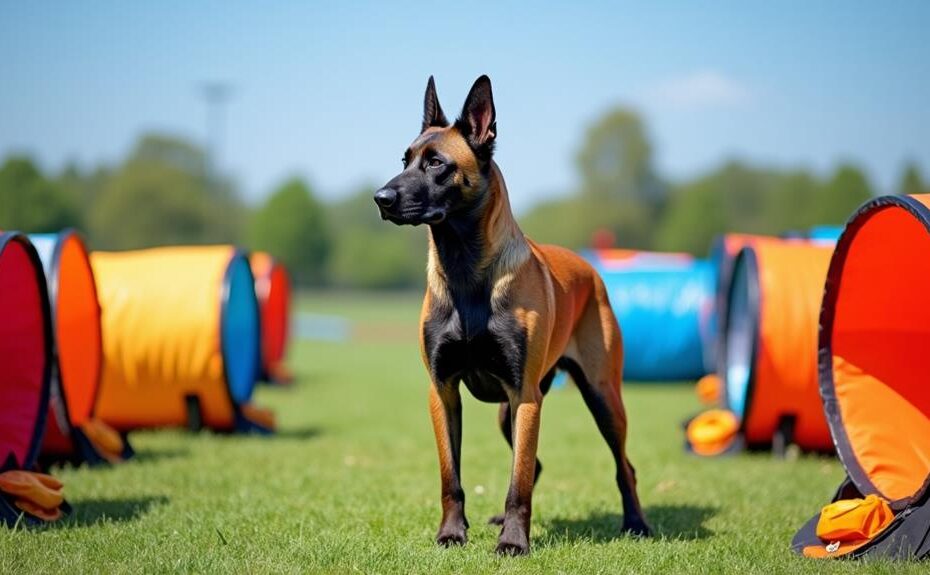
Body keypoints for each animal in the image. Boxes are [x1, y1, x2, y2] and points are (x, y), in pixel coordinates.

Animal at [374, 74, 648, 556]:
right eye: (404, 160)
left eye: (436, 163)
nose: (380, 198)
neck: (466, 272)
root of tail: (590, 270)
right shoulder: (443, 392)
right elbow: (452, 478)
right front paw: (452, 533)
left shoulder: (525, 397)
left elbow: (517, 482)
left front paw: (514, 543)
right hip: (510, 412)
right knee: (533, 464)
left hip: (600, 398)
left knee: (621, 466)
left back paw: (635, 523)